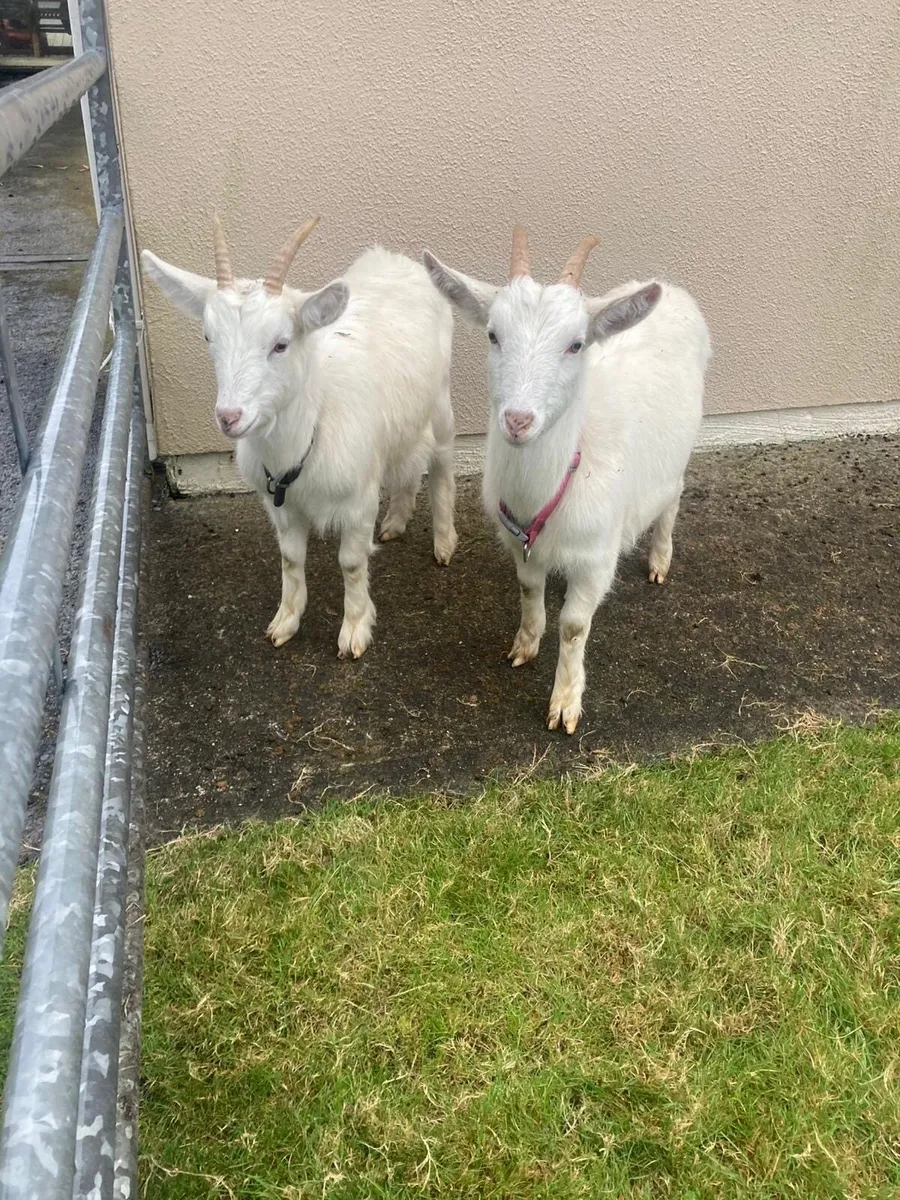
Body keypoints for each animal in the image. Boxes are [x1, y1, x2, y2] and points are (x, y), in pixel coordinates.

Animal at [142, 217, 457, 659]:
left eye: (280, 344)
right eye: (208, 338)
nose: (229, 417)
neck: (310, 429)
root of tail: (398, 258)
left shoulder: (358, 502)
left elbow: (351, 563)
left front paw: (354, 631)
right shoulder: (280, 505)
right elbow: (290, 559)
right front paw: (285, 622)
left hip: (441, 401)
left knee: (442, 464)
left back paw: (444, 542)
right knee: (405, 461)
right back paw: (395, 521)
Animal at [424, 226, 710, 733]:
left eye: (576, 344)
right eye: (493, 334)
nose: (517, 420)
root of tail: (673, 292)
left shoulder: (597, 557)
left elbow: (575, 625)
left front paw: (564, 704)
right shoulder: (520, 540)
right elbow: (528, 589)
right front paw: (525, 645)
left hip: (677, 456)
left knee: (672, 497)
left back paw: (660, 558)